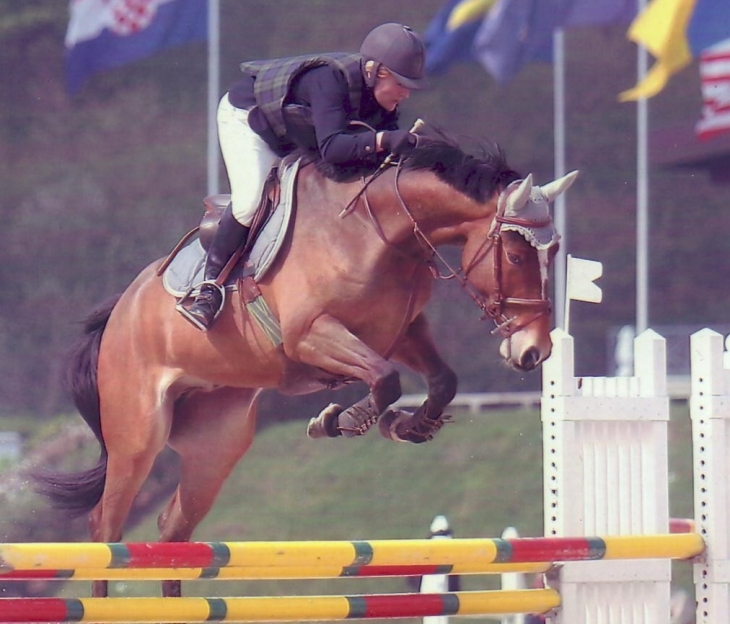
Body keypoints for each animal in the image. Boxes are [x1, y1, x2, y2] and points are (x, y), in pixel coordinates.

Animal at [37, 134, 576, 596]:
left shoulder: (401, 332)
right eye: (515, 254)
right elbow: (385, 378)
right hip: (138, 435)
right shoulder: (312, 334)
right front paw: (343, 419)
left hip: (217, 444)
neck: (377, 230)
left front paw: (406, 426)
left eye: (554, 252)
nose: (534, 352)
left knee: (172, 534)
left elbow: (440, 379)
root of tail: (120, 312)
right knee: (105, 530)